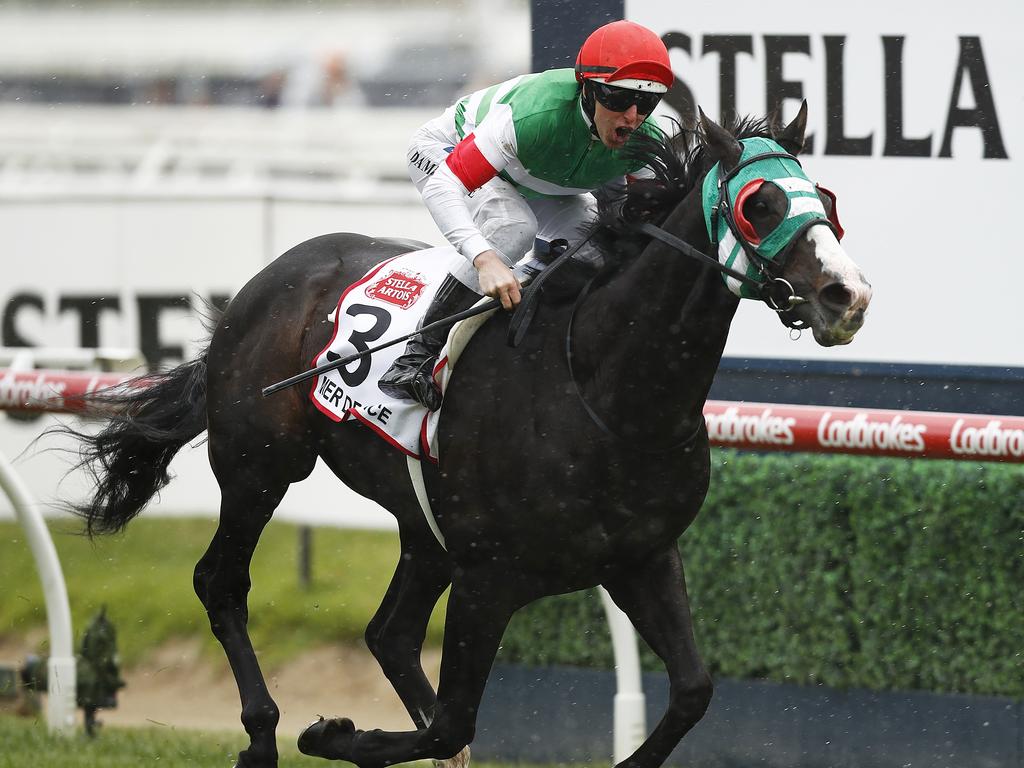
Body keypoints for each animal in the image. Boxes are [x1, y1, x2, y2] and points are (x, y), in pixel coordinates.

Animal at [70, 108, 872, 768]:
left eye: (826, 199)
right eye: (758, 204)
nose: (849, 296)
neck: (604, 389)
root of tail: (262, 283)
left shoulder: (642, 556)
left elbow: (693, 691)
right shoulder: (489, 577)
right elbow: (454, 721)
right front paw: (329, 733)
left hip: (422, 523)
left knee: (389, 633)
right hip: (259, 465)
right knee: (222, 582)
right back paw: (264, 736)